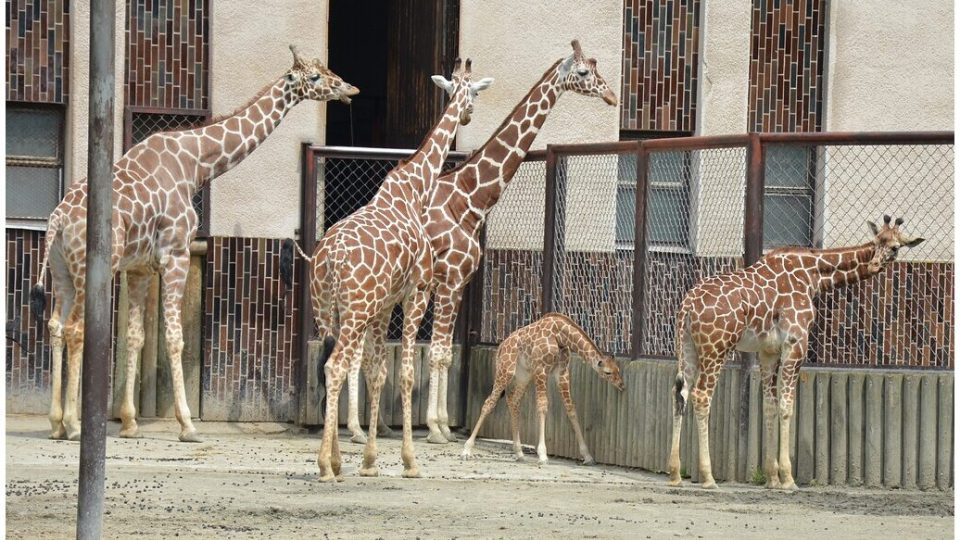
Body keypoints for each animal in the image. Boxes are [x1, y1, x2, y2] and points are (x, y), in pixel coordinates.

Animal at [31, 45, 360, 442]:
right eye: (313, 77)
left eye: (326, 71)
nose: (349, 88)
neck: (196, 164)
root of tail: (57, 220)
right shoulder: (175, 254)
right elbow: (174, 338)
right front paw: (187, 424)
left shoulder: (139, 267)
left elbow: (135, 337)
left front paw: (129, 422)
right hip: (92, 266)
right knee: (76, 328)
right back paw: (74, 424)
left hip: (62, 269)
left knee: (55, 325)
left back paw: (54, 423)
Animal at [282, 59, 496, 480]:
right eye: (473, 94)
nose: (468, 114)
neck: (413, 189)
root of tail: (330, 258)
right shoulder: (416, 294)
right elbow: (408, 372)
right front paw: (410, 460)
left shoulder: (384, 306)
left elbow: (378, 371)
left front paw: (369, 460)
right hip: (356, 309)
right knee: (336, 365)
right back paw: (326, 464)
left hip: (329, 309)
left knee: (334, 365)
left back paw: (335, 459)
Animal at [422, 39, 620, 442]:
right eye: (583, 71)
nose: (611, 96)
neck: (469, 198)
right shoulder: (449, 281)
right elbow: (437, 352)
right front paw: (435, 428)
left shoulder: (458, 283)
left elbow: (445, 352)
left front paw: (443, 426)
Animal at [462, 314, 628, 466]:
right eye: (608, 372)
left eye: (618, 369)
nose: (622, 385)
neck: (561, 336)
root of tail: (501, 346)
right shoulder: (541, 369)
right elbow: (542, 406)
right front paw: (542, 455)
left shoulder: (562, 372)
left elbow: (571, 409)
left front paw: (587, 456)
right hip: (506, 370)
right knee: (489, 402)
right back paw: (467, 450)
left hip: (524, 375)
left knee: (514, 401)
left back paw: (519, 453)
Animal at [668, 215, 924, 490]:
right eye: (876, 242)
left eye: (894, 247)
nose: (875, 264)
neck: (814, 275)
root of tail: (687, 305)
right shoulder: (796, 342)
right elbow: (786, 406)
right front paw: (788, 479)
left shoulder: (768, 351)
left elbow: (769, 405)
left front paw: (771, 478)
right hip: (716, 347)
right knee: (702, 395)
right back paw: (708, 477)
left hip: (687, 347)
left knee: (680, 392)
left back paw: (674, 473)